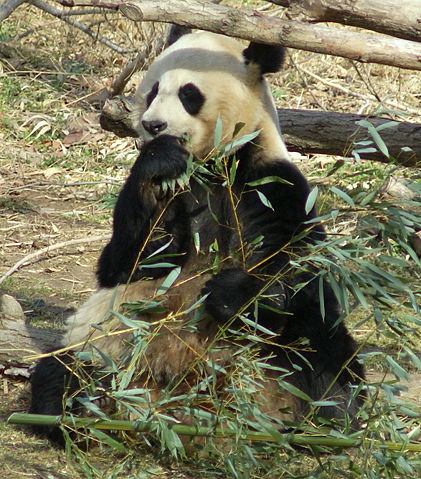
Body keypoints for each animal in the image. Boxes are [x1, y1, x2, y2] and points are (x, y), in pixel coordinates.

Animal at [29, 31, 364, 446]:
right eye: (153, 90)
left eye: (190, 94)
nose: (153, 125)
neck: (209, 164)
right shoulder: (174, 189)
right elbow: (130, 262)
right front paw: (159, 161)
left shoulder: (268, 181)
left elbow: (297, 268)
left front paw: (227, 294)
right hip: (106, 349)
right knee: (64, 371)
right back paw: (78, 414)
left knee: (326, 354)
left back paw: (330, 423)